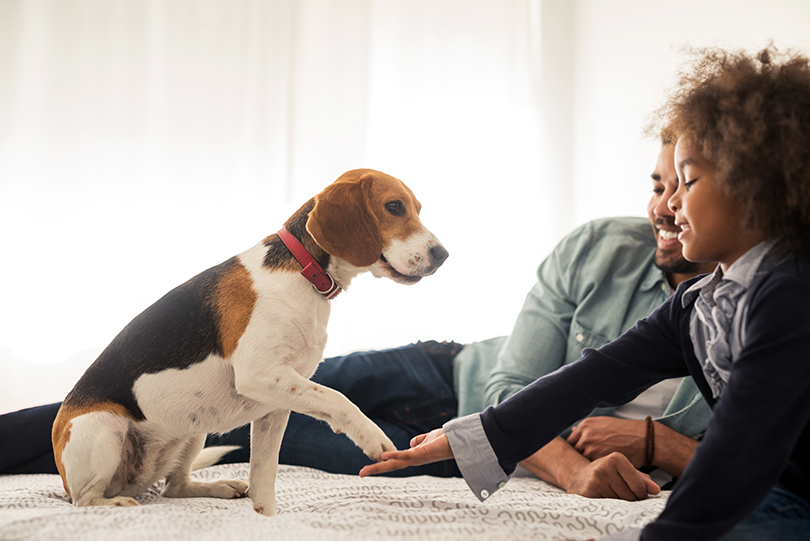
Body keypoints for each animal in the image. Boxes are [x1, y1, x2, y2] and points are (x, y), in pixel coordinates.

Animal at [52, 168, 448, 516]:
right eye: (394, 206)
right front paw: (370, 435)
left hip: (192, 432)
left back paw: (217, 486)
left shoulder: (277, 401)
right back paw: (115, 503)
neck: (305, 272)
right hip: (104, 428)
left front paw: (266, 517)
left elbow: (264, 475)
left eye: (417, 209)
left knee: (174, 487)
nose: (443, 255)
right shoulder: (260, 375)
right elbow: (338, 398)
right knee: (85, 500)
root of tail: (134, 483)